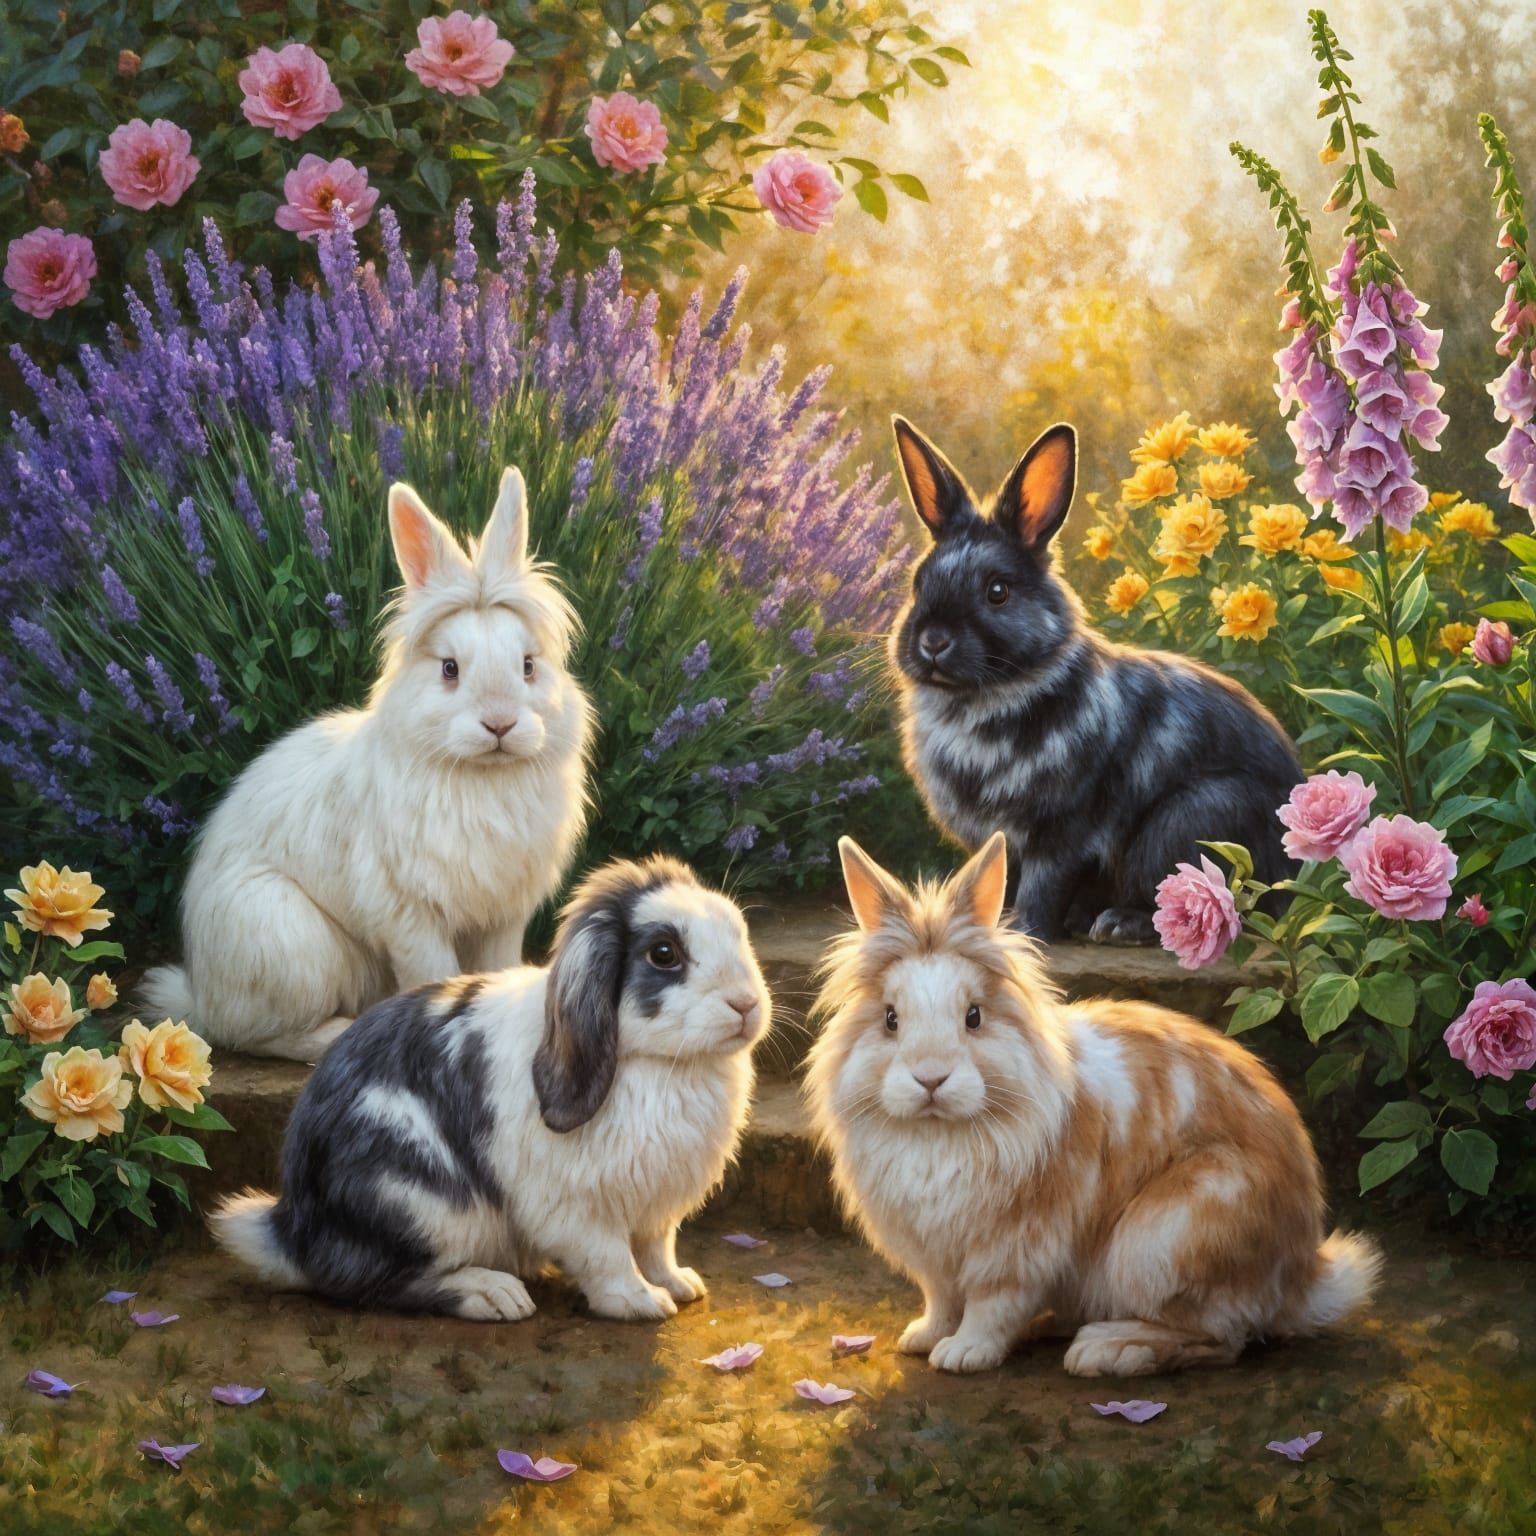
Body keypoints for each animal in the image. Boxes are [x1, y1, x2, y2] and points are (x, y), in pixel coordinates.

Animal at [141, 466, 593, 1062]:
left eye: (528, 665)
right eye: (449, 669)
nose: (500, 724)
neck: (480, 777)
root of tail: (202, 995)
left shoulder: (501, 918)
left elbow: (495, 968)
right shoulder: (411, 916)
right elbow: (434, 976)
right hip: (290, 942)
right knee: (259, 1036)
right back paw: (338, 1033)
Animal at [209, 854, 771, 1320]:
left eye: (738, 931)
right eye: (664, 953)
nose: (746, 1004)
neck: (661, 1064)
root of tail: (294, 1232)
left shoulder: (657, 1206)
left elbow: (657, 1248)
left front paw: (679, 1285)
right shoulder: (580, 1207)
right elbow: (608, 1257)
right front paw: (639, 1303)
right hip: (419, 1202)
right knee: (380, 1282)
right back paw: (493, 1295)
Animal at [806, 832, 1380, 1376]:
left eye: (973, 1016)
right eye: (889, 1018)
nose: (930, 1078)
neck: (938, 1133)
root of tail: (1300, 1278)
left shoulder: (1017, 1249)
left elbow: (992, 1307)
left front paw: (964, 1355)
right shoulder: (936, 1259)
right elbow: (943, 1300)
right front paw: (922, 1337)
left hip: (1166, 1237)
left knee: (1220, 1339)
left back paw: (1110, 1349)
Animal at [888, 416, 1302, 945]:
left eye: (997, 591)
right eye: (918, 584)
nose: (932, 642)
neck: (987, 700)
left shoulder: (1062, 832)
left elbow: (1041, 888)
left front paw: (1026, 934)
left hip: (1194, 822)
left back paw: (1117, 924)